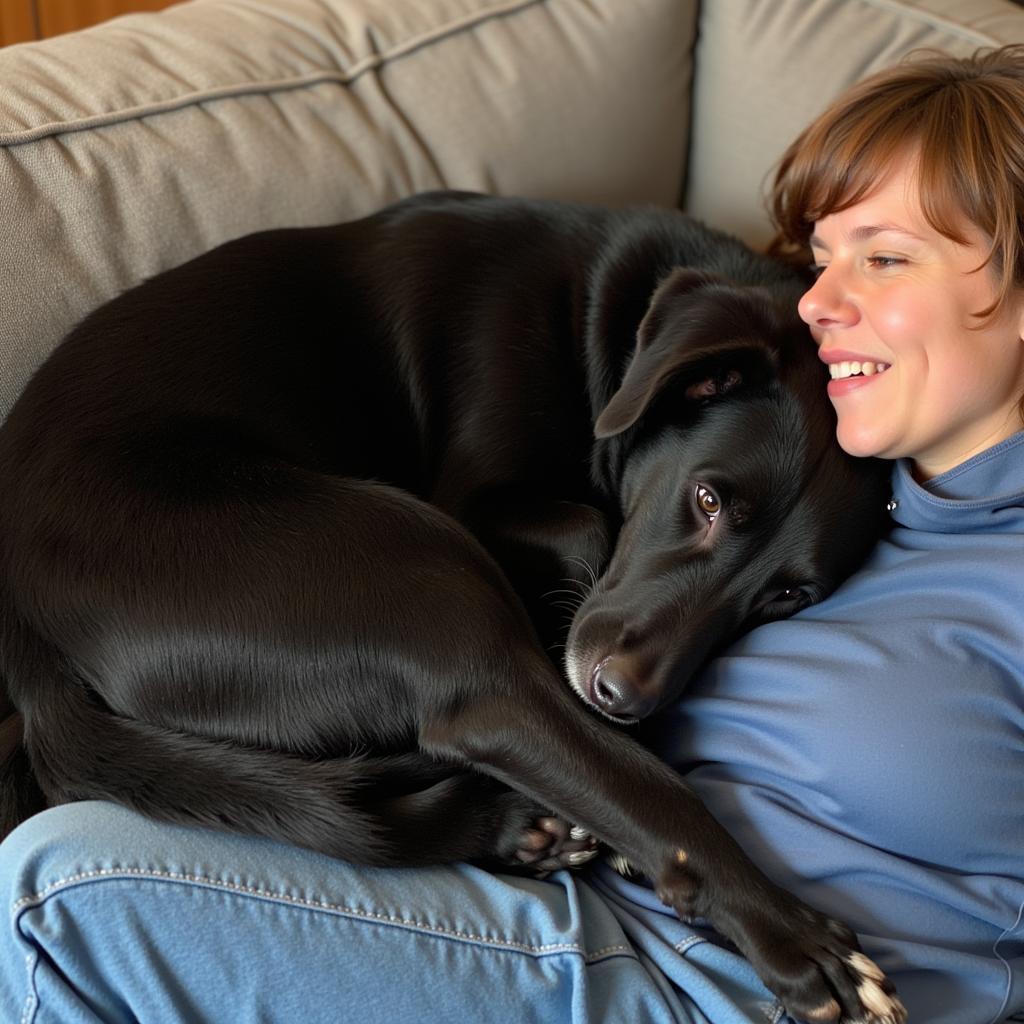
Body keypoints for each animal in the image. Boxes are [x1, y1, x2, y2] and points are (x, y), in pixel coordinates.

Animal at [0, 193, 901, 1024]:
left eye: (787, 597)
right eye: (708, 500)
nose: (625, 697)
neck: (601, 319)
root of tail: (31, 639)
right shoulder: (476, 504)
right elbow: (591, 531)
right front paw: (802, 946)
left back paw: (525, 829)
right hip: (415, 551)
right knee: (525, 736)